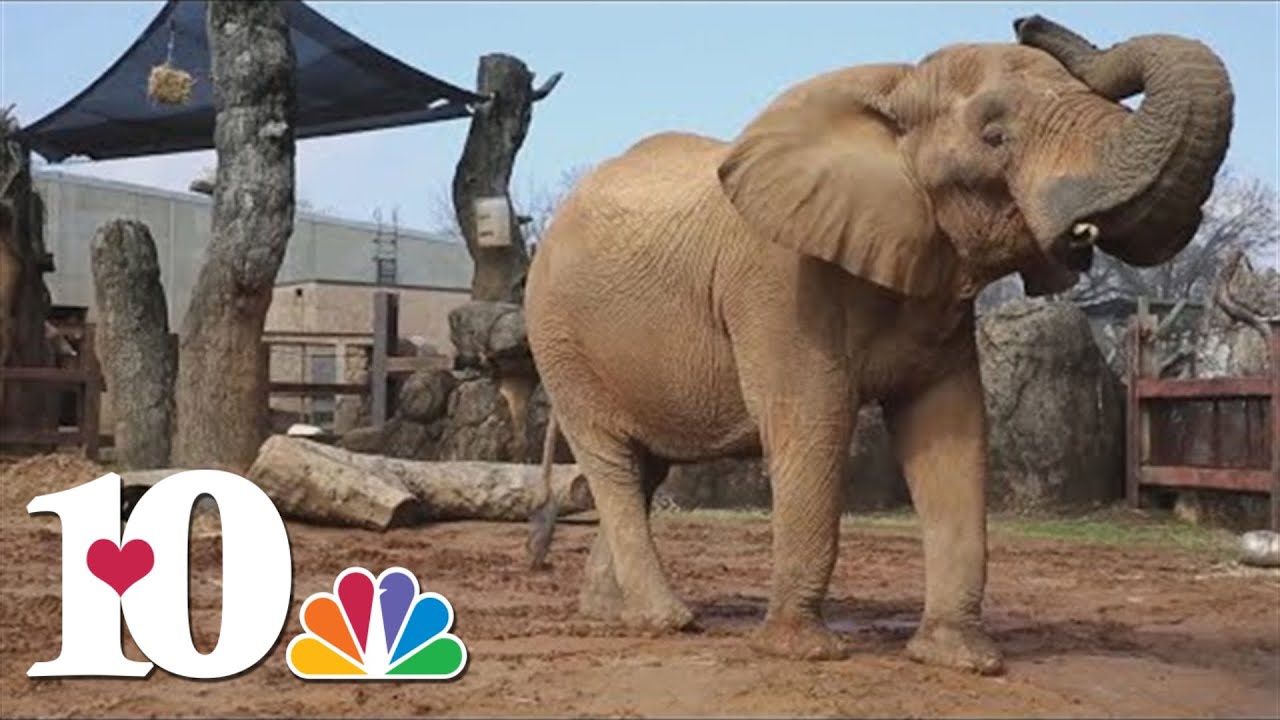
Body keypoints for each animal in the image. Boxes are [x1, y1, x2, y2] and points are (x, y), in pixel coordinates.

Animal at [523, 16, 1233, 674]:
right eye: (994, 136)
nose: (1026, 20)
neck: (897, 87)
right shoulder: (777, 279)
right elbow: (814, 420)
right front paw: (804, 653)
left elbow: (949, 429)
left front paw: (961, 660)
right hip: (558, 337)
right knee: (613, 463)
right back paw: (668, 621)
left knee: (645, 468)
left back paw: (610, 614)